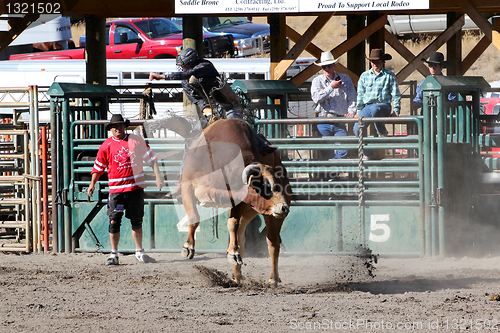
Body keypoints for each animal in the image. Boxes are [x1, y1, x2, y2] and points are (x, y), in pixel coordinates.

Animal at [180, 117, 292, 286]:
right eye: (266, 187)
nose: (284, 208)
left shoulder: (238, 199)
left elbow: (232, 224)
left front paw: (232, 254)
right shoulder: (187, 186)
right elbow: (194, 218)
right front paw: (188, 247)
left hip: (272, 216)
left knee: (272, 243)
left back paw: (273, 278)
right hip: (250, 212)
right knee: (242, 239)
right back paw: (236, 275)